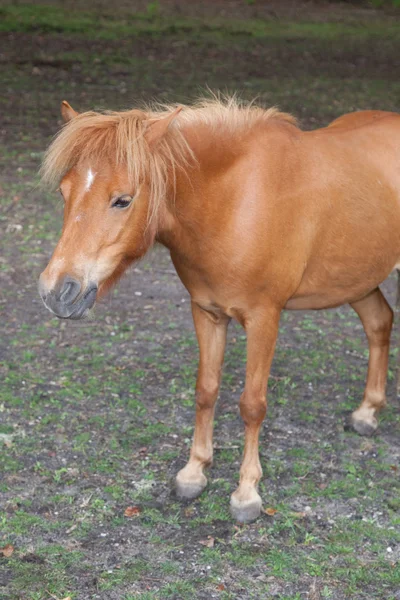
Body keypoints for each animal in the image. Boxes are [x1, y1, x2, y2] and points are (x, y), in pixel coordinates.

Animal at [38, 97, 400, 520]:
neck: (233, 201)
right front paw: (194, 472)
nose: (57, 291)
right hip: (358, 280)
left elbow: (252, 405)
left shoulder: (264, 319)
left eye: (122, 200)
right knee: (379, 323)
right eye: (64, 193)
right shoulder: (207, 312)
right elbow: (206, 390)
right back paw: (367, 412)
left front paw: (246, 492)